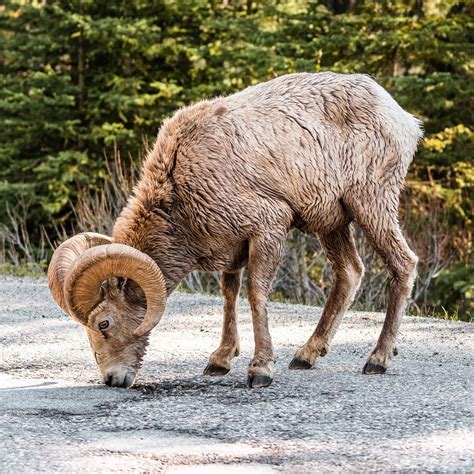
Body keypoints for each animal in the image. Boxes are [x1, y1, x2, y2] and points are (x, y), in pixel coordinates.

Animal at [48, 72, 422, 386]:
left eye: (104, 323)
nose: (113, 380)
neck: (180, 185)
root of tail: (404, 119)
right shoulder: (230, 246)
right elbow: (230, 293)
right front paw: (219, 361)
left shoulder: (268, 228)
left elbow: (256, 293)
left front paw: (260, 370)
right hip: (332, 221)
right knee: (349, 273)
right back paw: (305, 356)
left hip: (371, 203)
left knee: (403, 264)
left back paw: (377, 360)